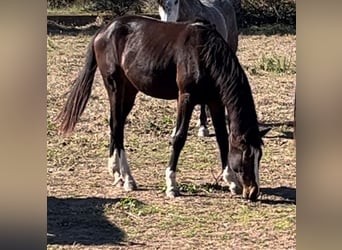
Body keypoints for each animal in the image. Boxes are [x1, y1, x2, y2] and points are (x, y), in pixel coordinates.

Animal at [56, 14, 270, 201]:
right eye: (247, 156)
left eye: (260, 156)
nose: (253, 192)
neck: (203, 53)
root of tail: (103, 31)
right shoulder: (185, 98)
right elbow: (179, 138)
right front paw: (171, 185)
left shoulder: (215, 101)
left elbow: (222, 138)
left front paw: (231, 181)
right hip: (115, 87)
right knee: (117, 126)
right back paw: (128, 178)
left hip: (130, 90)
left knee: (116, 124)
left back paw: (116, 174)